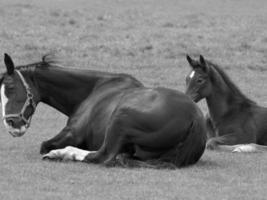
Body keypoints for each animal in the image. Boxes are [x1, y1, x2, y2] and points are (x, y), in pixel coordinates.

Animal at [0, 54, 207, 168]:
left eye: (10, 87)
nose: (11, 124)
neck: (95, 88)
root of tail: (195, 118)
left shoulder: (71, 133)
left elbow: (44, 145)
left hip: (120, 119)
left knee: (102, 156)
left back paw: (63, 153)